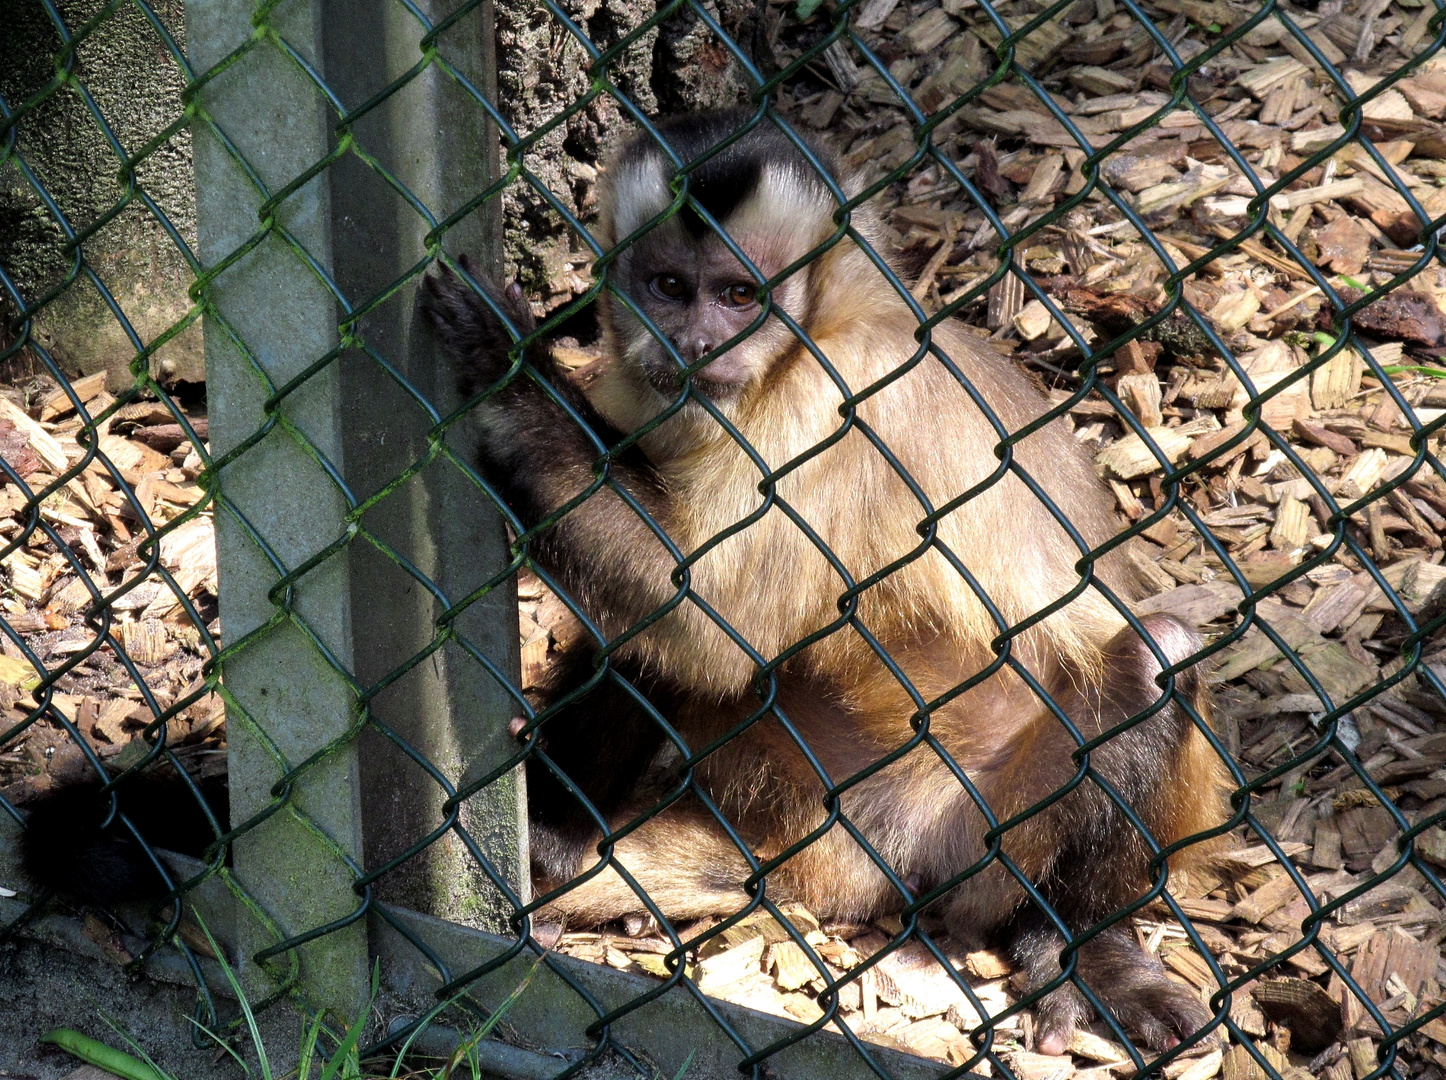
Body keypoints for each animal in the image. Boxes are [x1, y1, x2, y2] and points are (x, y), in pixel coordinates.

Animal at [422, 109, 1231, 1058]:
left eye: (741, 296)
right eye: (669, 286)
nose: (696, 346)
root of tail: (849, 853)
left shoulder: (830, 402)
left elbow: (714, 624)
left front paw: (504, 368)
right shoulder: (647, 387)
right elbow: (682, 621)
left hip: (979, 836)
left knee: (1154, 661)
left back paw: (1071, 939)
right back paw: (559, 838)